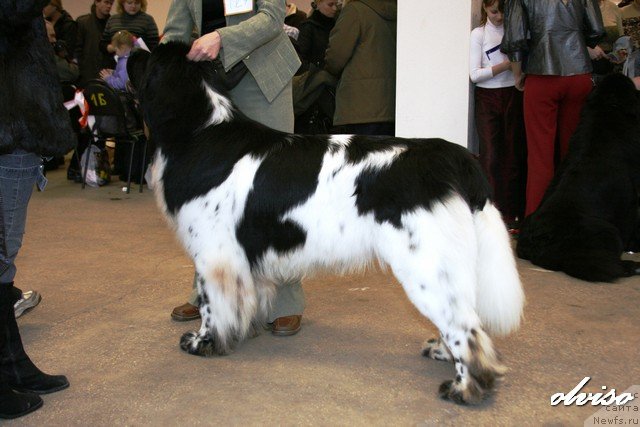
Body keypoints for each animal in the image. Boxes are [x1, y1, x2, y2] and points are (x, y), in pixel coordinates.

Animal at [131, 43, 524, 404]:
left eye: (151, 53)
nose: (127, 47)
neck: (199, 131)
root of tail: (454, 156)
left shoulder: (215, 254)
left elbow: (211, 305)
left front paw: (202, 342)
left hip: (424, 262)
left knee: (465, 326)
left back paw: (464, 388)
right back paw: (443, 353)